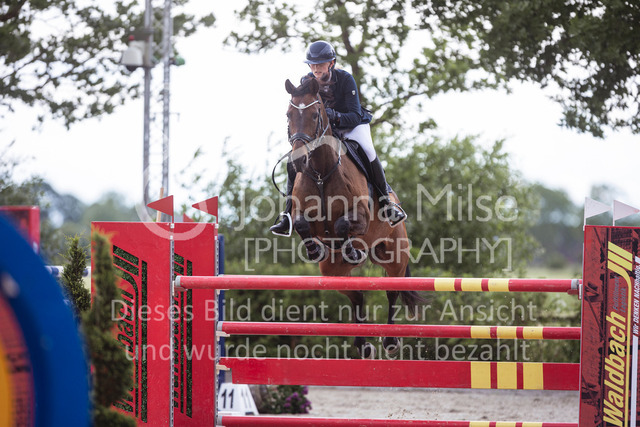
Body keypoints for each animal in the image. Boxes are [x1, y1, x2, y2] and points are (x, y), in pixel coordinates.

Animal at [284, 77, 423, 358]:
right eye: (288, 115)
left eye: (314, 115)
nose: (298, 161)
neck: (321, 172)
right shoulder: (304, 216)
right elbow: (303, 224)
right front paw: (315, 249)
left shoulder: (361, 217)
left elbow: (343, 223)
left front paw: (351, 249)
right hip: (331, 271)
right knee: (356, 294)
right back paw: (363, 344)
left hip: (394, 255)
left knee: (392, 290)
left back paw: (390, 341)